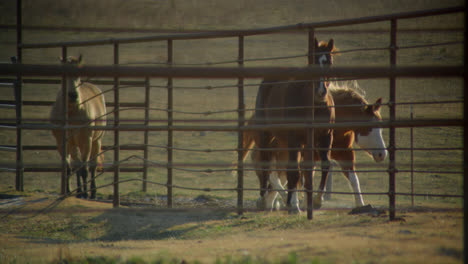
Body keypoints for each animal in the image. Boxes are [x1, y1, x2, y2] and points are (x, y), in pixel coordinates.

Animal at [50, 54, 106, 198]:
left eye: (78, 75)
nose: (73, 95)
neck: (71, 112)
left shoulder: (86, 141)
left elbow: (85, 169)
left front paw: (85, 194)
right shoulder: (62, 142)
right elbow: (69, 169)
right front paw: (68, 192)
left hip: (96, 141)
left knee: (91, 167)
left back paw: (91, 192)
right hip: (74, 145)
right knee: (77, 166)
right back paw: (79, 191)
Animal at [241, 82, 388, 210]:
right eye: (368, 128)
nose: (382, 154)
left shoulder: (344, 152)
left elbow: (353, 178)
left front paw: (360, 205)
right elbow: (305, 178)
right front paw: (308, 202)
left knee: (278, 178)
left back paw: (269, 203)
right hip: (275, 152)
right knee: (273, 175)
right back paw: (283, 201)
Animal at [252, 39, 336, 217]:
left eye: (329, 62)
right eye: (313, 61)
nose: (321, 91)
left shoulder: (325, 136)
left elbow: (323, 165)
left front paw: (316, 200)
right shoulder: (295, 139)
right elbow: (295, 171)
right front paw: (294, 206)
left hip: (284, 142)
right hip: (268, 136)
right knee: (267, 163)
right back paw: (264, 200)